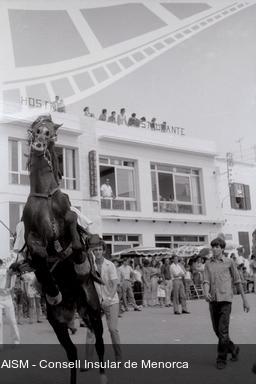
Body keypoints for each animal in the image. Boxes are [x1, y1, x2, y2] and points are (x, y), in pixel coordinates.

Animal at [21, 115, 107, 384]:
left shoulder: (68, 219)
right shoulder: (32, 236)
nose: (40, 140)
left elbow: (72, 226)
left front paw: (78, 263)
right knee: (72, 353)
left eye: (51, 131)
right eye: (36, 128)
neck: (46, 197)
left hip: (92, 310)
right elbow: (39, 256)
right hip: (58, 324)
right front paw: (52, 290)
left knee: (100, 344)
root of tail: (74, 312)